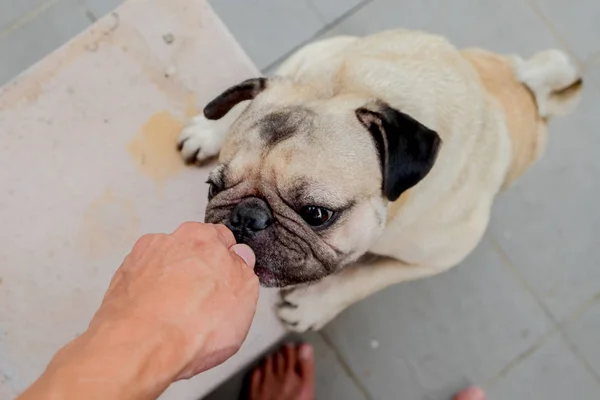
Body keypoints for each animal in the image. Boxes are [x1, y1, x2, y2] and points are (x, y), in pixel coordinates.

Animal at [177, 29, 580, 332]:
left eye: (316, 214)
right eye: (214, 188)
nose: (245, 217)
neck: (358, 90)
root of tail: (526, 82)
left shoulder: (439, 257)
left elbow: (363, 279)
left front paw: (311, 307)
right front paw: (211, 129)